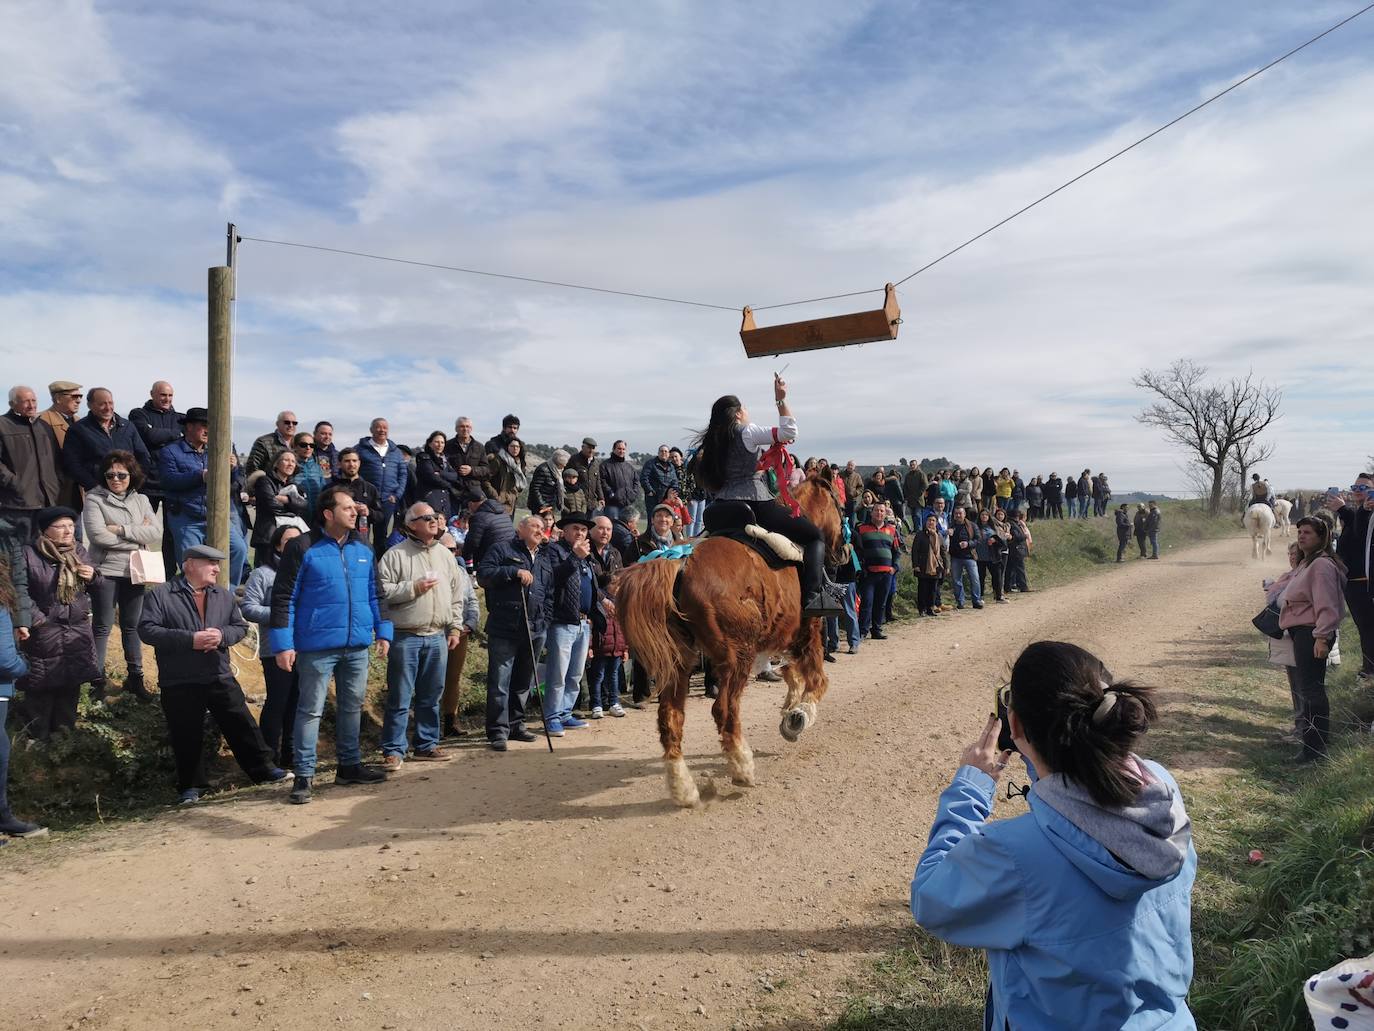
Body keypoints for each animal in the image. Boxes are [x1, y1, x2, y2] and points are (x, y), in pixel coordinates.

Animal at [615, 481, 846, 813]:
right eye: (839, 502)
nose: (843, 551)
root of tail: (680, 560)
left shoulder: (781, 636)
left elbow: (790, 673)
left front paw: (790, 708)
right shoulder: (808, 633)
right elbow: (816, 681)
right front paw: (798, 716)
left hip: (680, 661)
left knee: (670, 717)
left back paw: (684, 789)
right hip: (738, 656)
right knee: (724, 709)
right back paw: (741, 767)